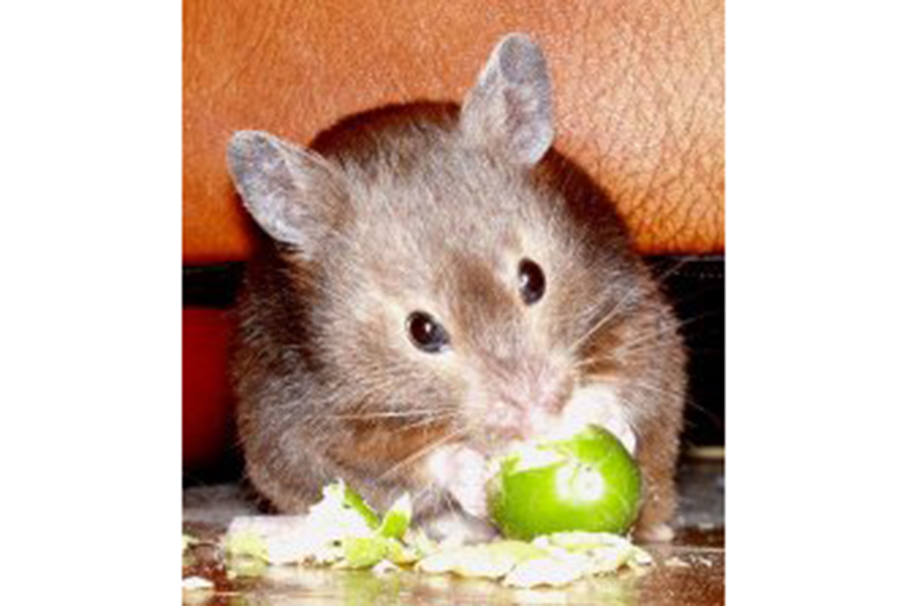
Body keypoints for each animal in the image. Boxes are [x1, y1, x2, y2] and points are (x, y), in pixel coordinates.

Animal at [227, 34, 686, 543]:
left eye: (534, 279)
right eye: (422, 331)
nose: (539, 415)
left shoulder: (634, 314)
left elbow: (622, 383)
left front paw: (591, 418)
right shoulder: (324, 418)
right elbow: (409, 461)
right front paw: (475, 476)